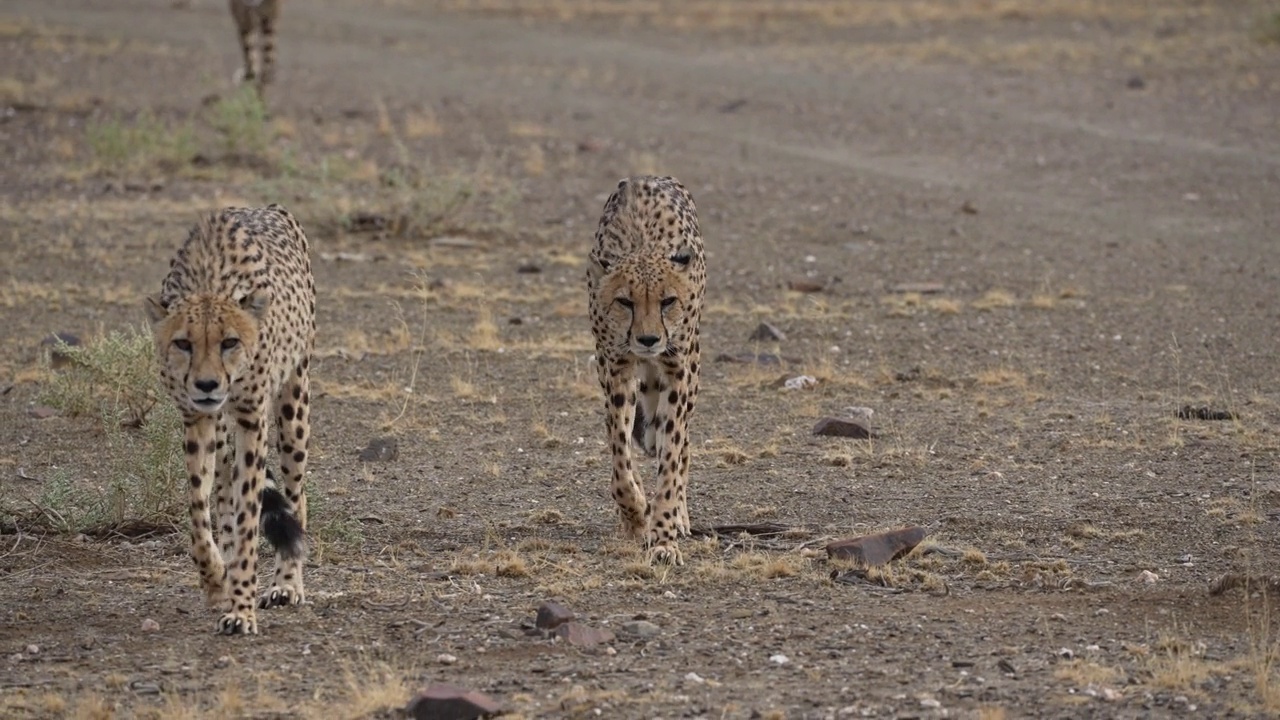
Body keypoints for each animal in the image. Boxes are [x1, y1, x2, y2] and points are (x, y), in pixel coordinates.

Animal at [143, 203, 314, 632]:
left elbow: (251, 514)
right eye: (183, 343)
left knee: (295, 493)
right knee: (222, 495)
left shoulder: (252, 418)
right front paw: (216, 581)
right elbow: (198, 509)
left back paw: (287, 582)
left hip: (294, 399)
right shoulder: (196, 419)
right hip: (222, 431)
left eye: (230, 342)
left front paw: (242, 607)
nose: (207, 384)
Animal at [588, 175, 711, 566]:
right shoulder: (616, 370)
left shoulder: (677, 370)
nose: (648, 339)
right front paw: (635, 515)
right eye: (624, 302)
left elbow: (671, 457)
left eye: (667, 301)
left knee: (683, 446)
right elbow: (620, 457)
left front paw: (664, 535)